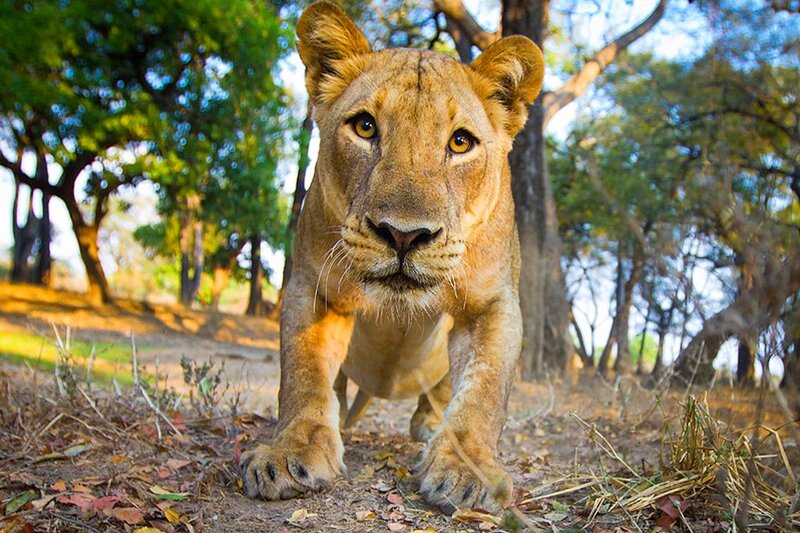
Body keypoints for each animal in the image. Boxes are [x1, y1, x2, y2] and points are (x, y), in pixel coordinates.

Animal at [239, 1, 544, 513]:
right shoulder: (311, 288)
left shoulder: (494, 304)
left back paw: (429, 424)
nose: (403, 235)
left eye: (460, 142)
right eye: (365, 127)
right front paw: (292, 451)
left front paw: (468, 468)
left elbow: (484, 392)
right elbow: (302, 374)